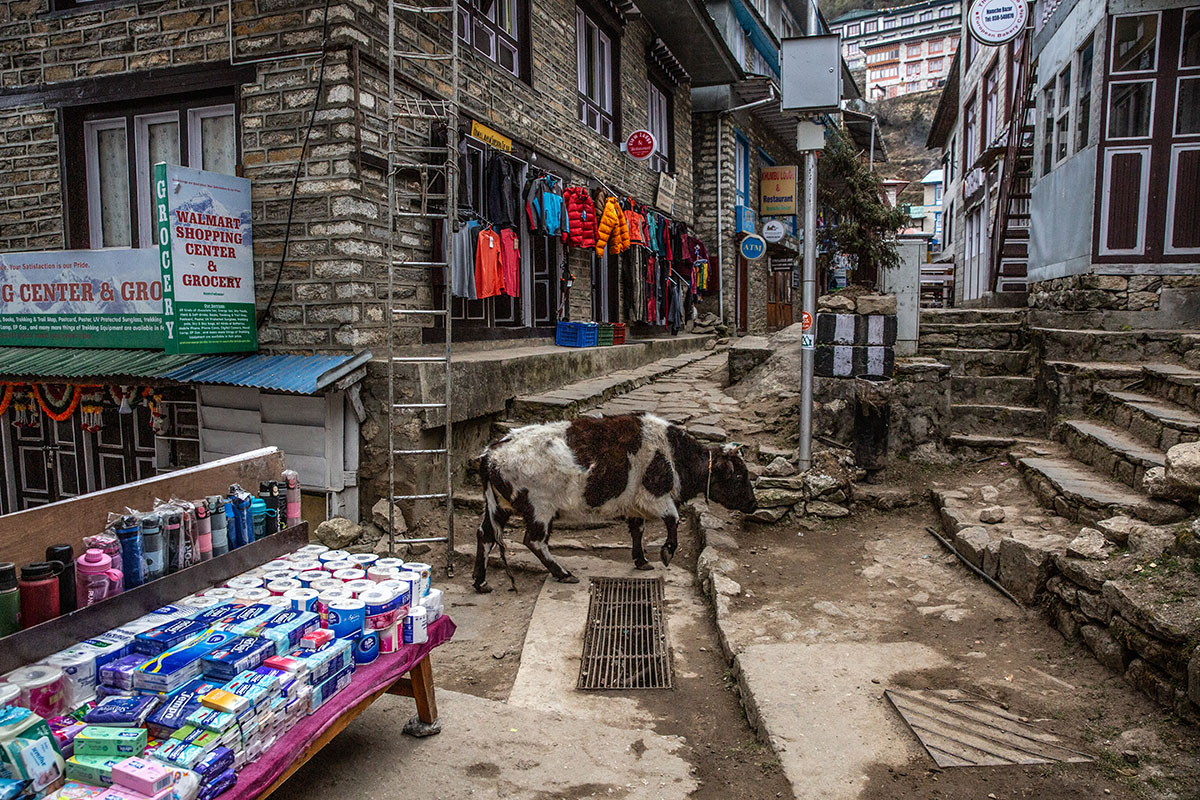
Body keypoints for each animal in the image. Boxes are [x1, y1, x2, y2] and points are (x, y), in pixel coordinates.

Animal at [472, 412, 753, 594]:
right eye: (739, 476)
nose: (753, 504)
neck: (672, 456)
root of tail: (490, 453)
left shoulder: (635, 504)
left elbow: (638, 530)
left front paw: (642, 561)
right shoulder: (655, 497)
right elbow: (673, 519)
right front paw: (666, 553)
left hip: (498, 507)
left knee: (485, 535)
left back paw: (481, 582)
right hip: (539, 508)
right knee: (533, 541)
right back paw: (564, 574)